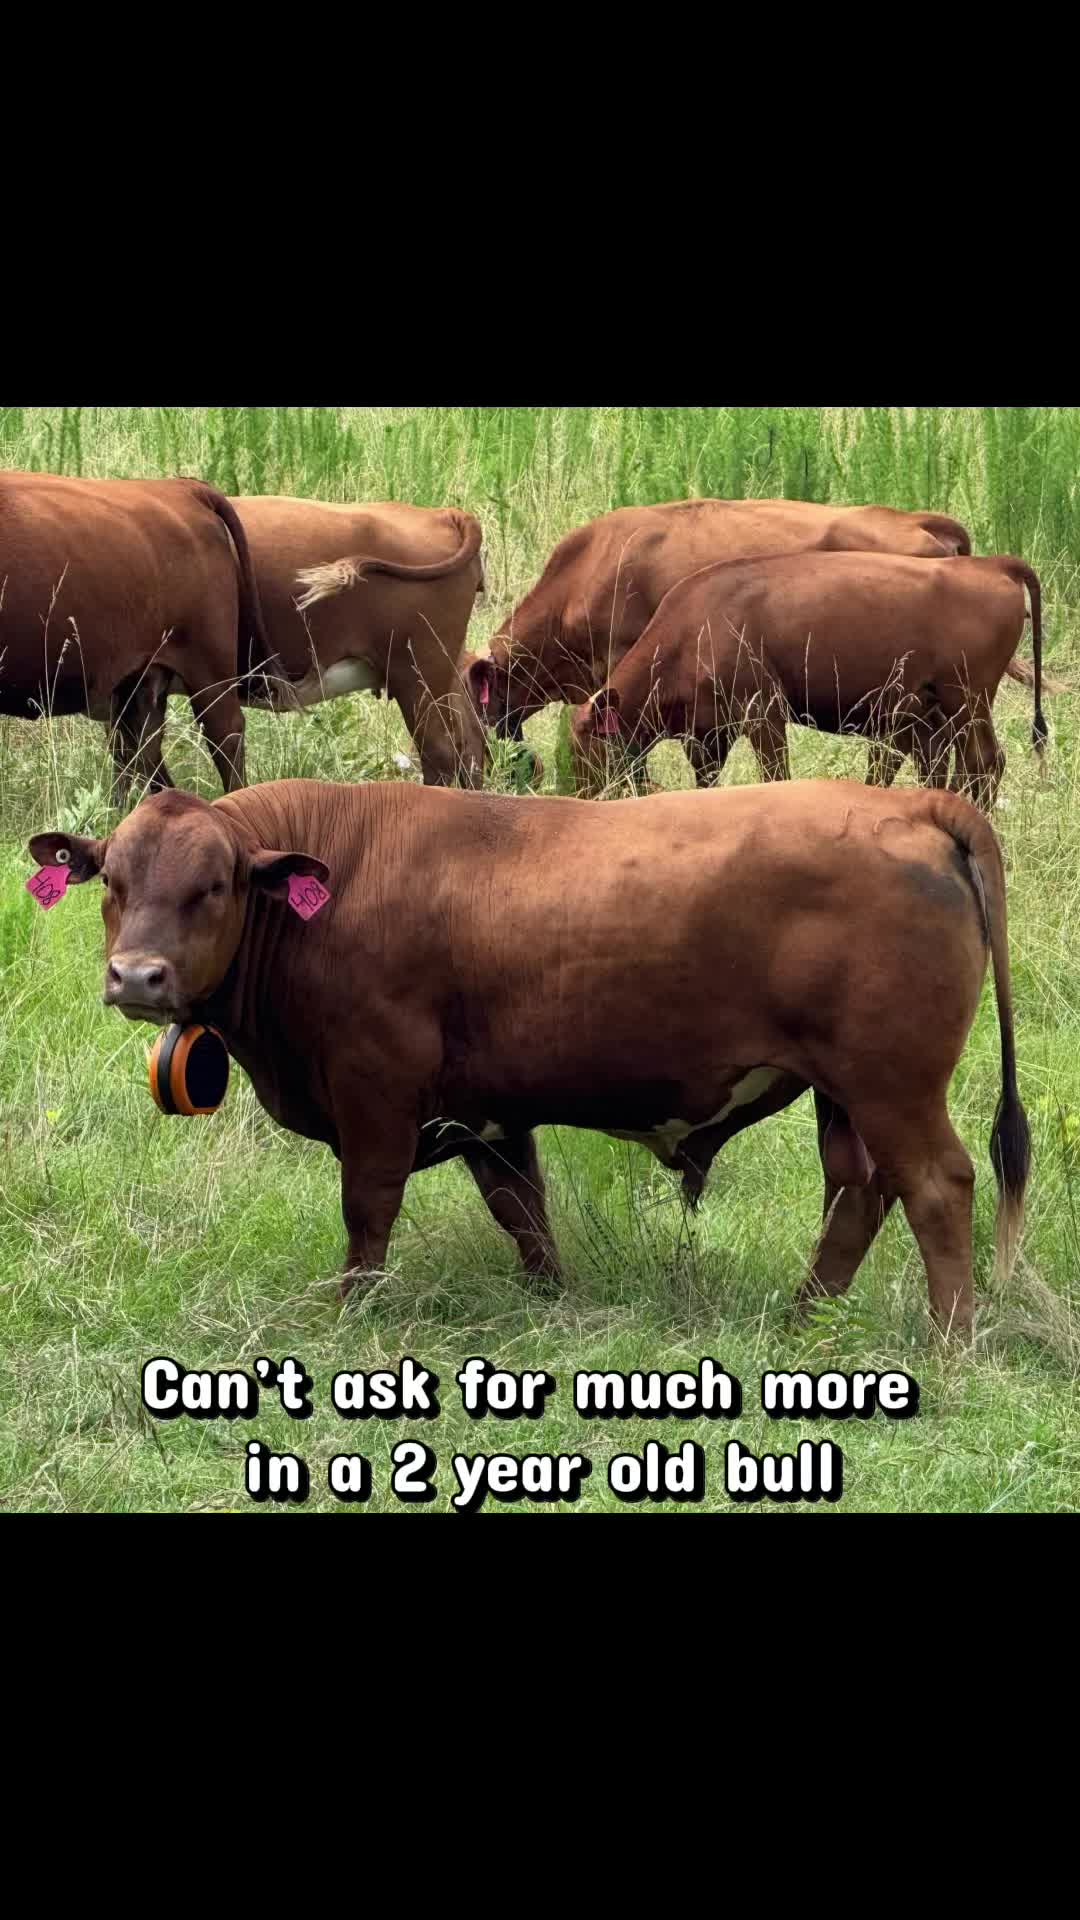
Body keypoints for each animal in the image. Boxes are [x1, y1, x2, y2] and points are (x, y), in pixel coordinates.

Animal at [30, 773, 1029, 1337]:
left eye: (214, 885)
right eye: (113, 880)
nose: (138, 976)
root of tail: (910, 803)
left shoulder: (375, 1094)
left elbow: (368, 1213)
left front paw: (350, 1311)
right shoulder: (490, 1114)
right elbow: (524, 1214)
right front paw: (554, 1302)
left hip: (892, 1086)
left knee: (936, 1187)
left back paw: (950, 1344)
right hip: (843, 1094)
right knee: (859, 1194)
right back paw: (802, 1318)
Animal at [571, 551, 1047, 812]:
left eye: (586, 745)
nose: (579, 795)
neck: (694, 624)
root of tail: (993, 565)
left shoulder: (761, 711)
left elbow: (775, 772)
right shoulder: (707, 732)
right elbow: (707, 779)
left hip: (966, 700)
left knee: (985, 763)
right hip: (942, 711)